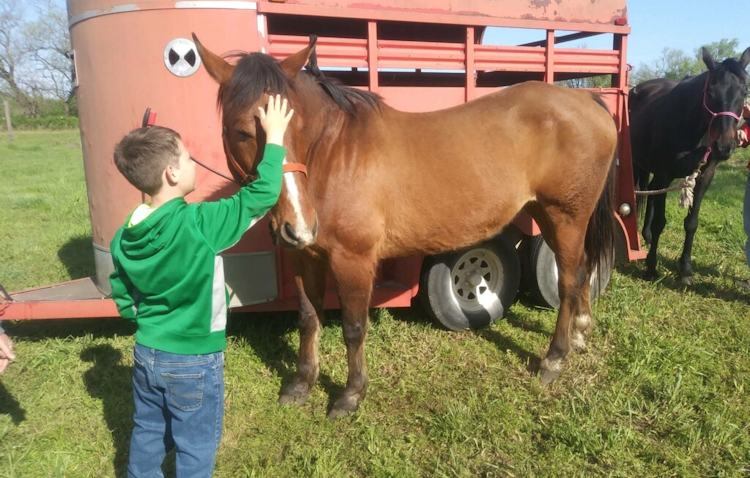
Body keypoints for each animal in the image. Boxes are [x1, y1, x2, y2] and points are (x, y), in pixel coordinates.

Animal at [197, 34, 620, 418]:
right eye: (241, 131)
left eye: (297, 127)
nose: (298, 223)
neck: (335, 155)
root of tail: (587, 100)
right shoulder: (305, 257)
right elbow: (307, 318)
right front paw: (301, 383)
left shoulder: (352, 260)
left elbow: (353, 326)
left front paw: (351, 395)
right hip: (548, 216)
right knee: (582, 270)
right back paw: (580, 333)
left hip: (565, 215)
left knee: (568, 280)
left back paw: (554, 358)